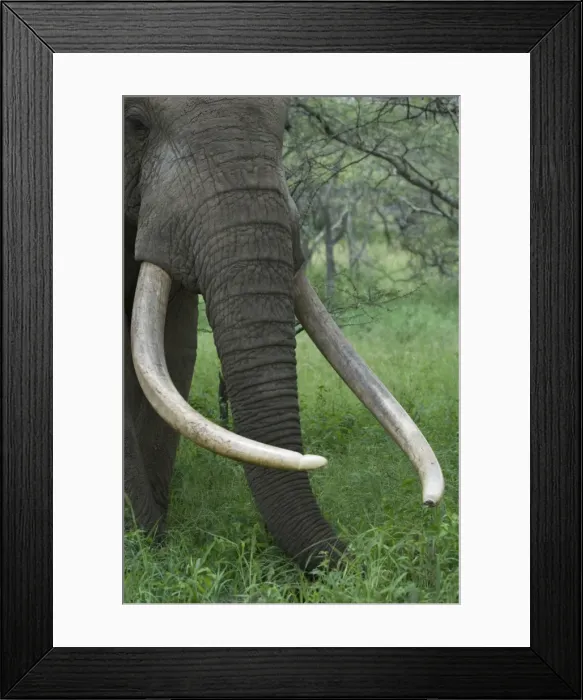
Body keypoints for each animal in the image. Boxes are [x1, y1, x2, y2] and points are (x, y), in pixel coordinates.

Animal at [124, 96, 444, 571]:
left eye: (288, 126)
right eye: (135, 124)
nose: (426, 507)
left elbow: (173, 352)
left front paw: (152, 543)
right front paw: (146, 547)